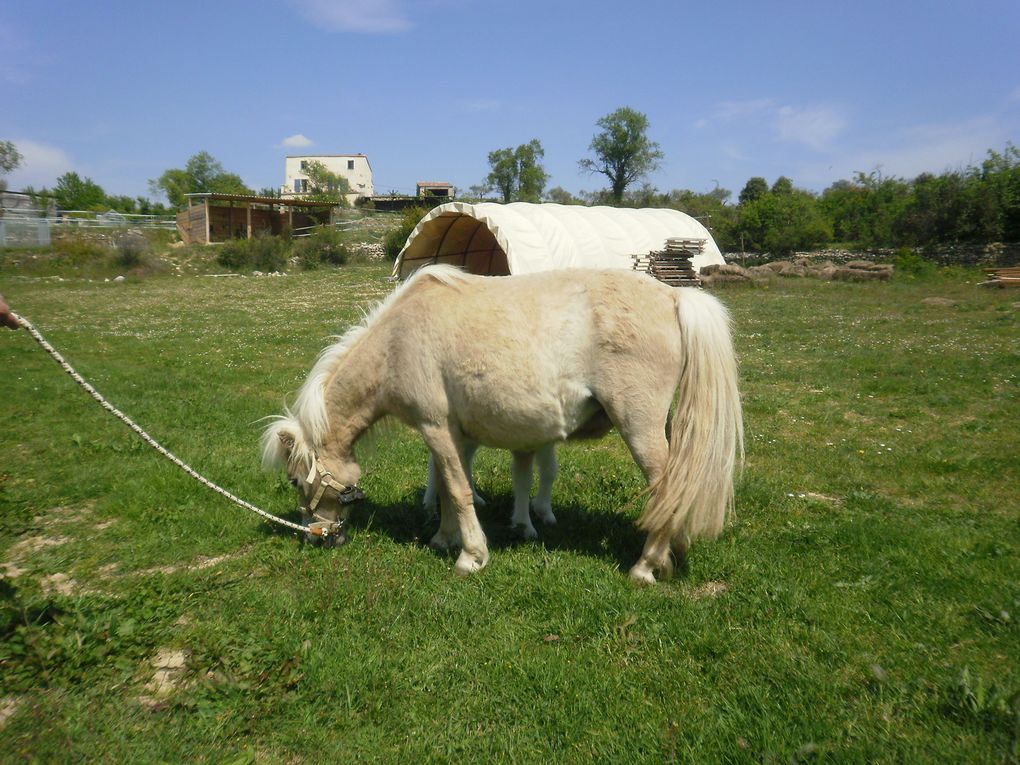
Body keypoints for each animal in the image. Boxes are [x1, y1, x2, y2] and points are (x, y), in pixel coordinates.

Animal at [263, 267, 742, 583]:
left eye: (295, 481)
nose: (315, 537)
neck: (396, 342)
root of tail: (675, 299)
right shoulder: (455, 436)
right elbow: (451, 485)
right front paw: (444, 538)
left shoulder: (435, 427)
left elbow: (458, 491)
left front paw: (471, 555)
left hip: (639, 427)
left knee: (667, 488)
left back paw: (645, 566)